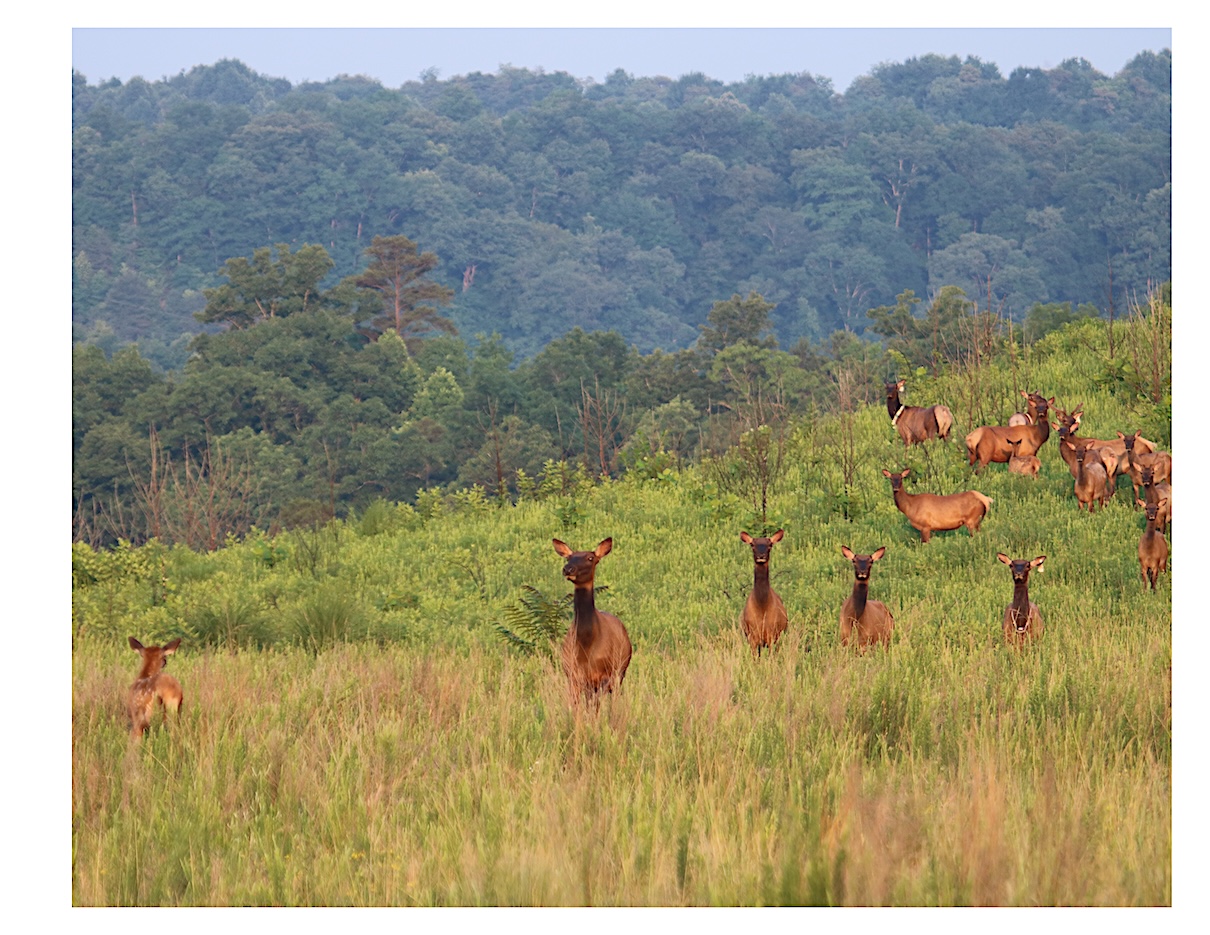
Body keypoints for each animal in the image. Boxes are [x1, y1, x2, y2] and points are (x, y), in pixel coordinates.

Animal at [552, 538, 632, 705]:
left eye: (590, 558)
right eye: (569, 557)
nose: (568, 569)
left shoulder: (604, 676)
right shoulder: (573, 676)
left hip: (620, 672)